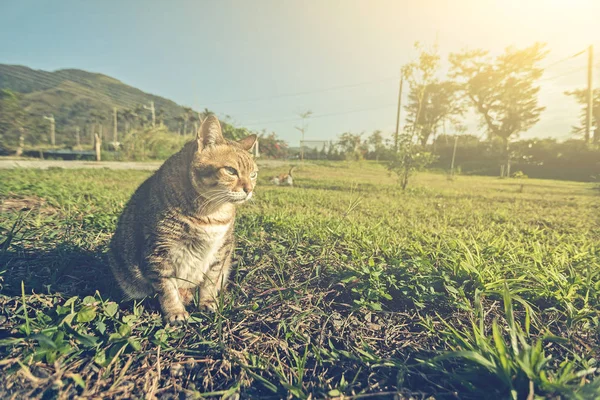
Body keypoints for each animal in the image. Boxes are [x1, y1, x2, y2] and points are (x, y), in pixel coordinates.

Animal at [108, 114, 258, 324]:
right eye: (230, 171)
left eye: (253, 174)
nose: (249, 189)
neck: (210, 213)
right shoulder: (158, 252)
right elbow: (167, 288)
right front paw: (175, 312)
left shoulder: (221, 249)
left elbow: (209, 281)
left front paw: (207, 302)